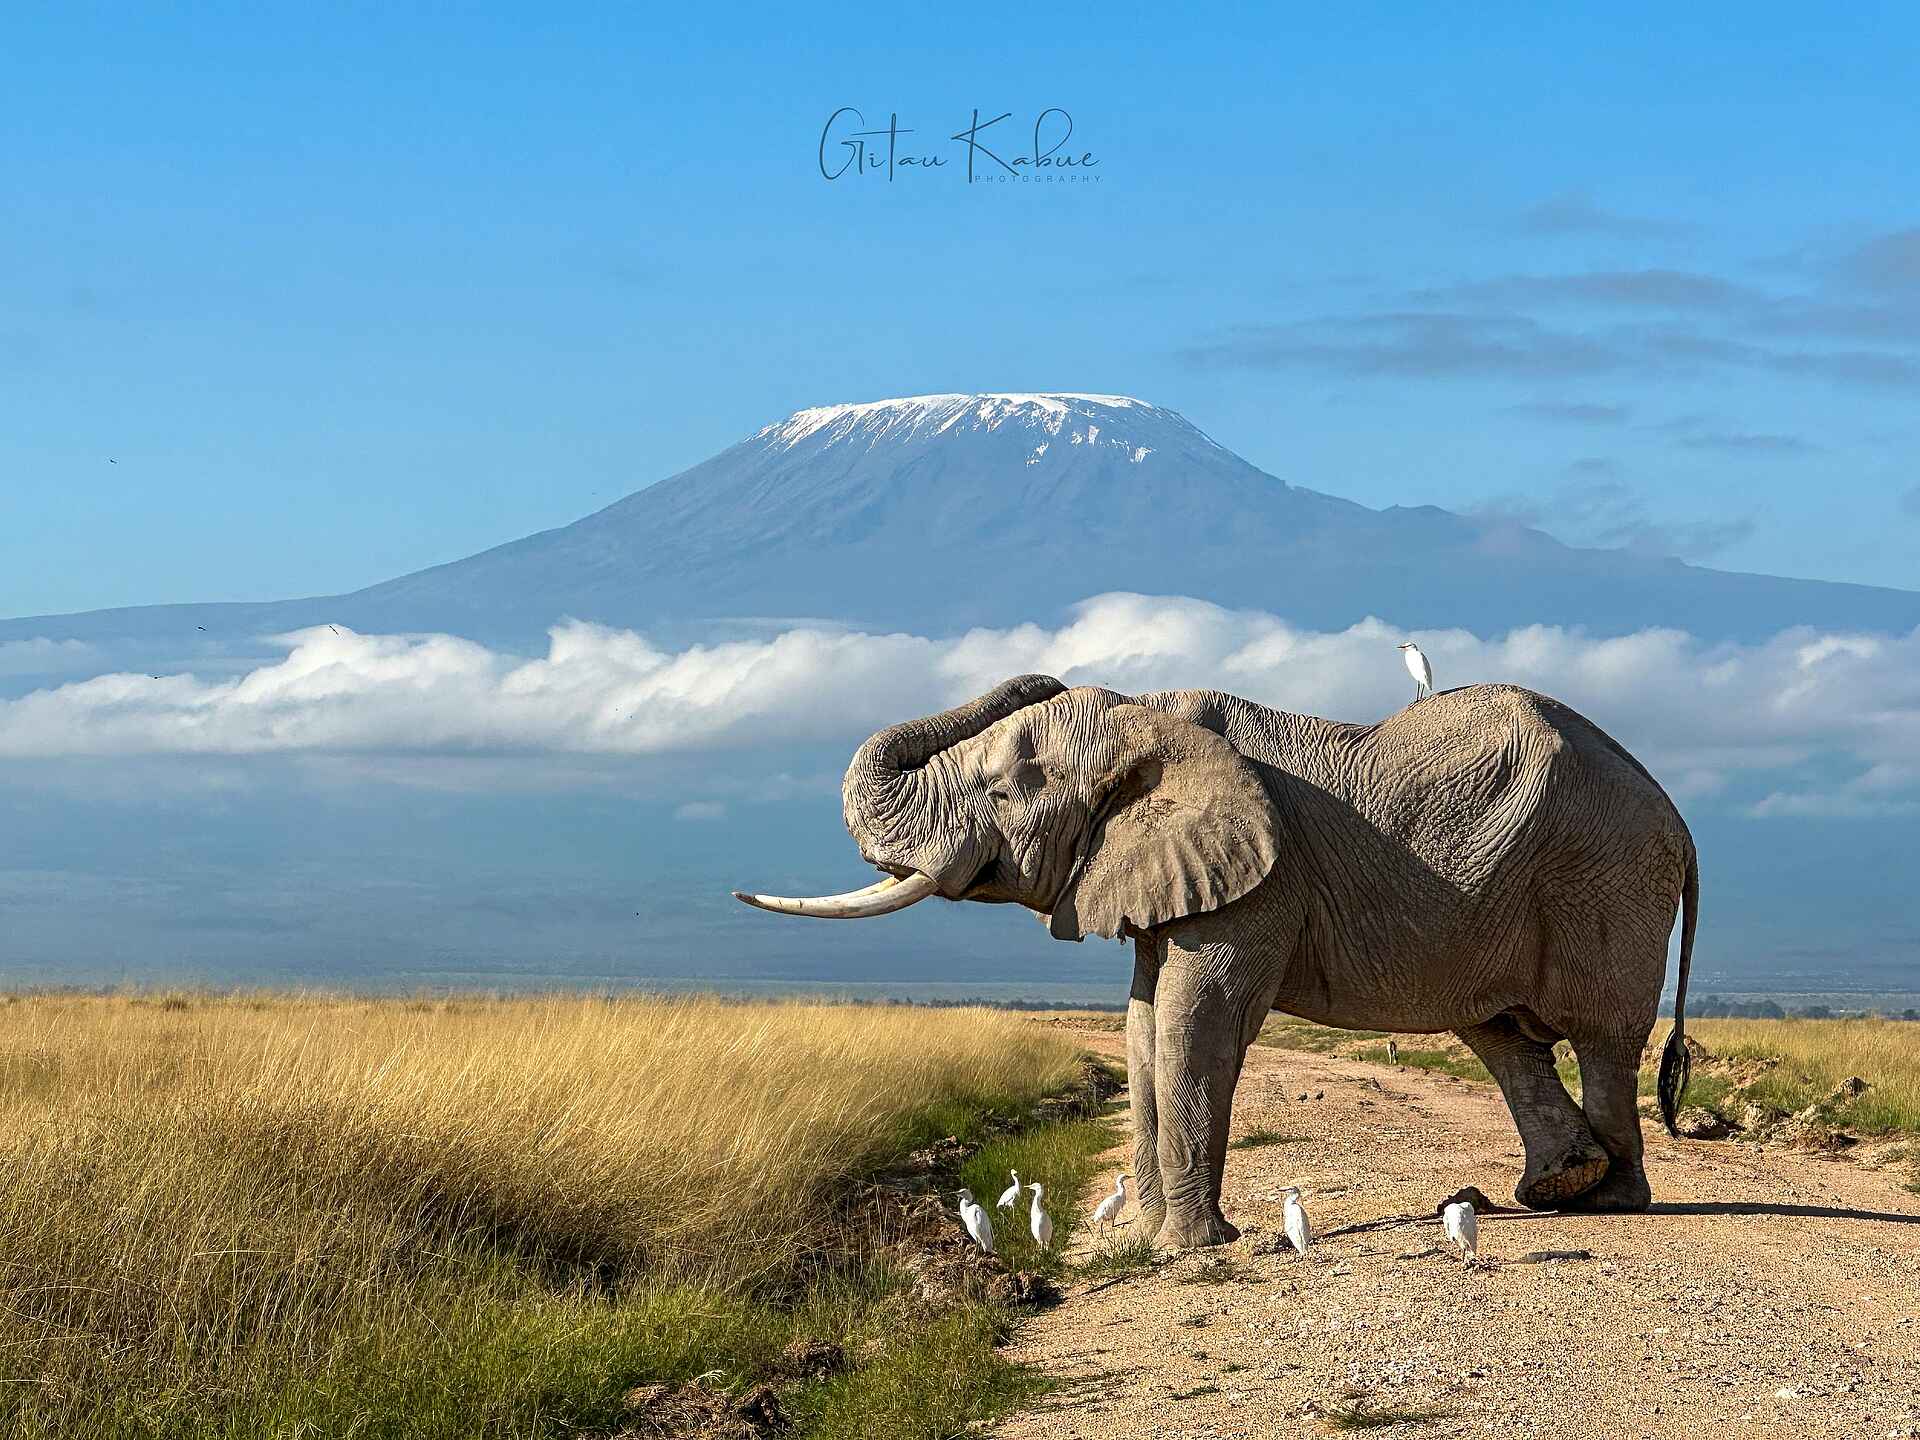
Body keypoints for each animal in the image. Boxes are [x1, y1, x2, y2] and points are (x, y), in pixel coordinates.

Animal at [734, 674, 1697, 1250]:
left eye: (1003, 792)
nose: (1042, 675)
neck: (1147, 715)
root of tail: (1680, 820)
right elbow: (1142, 1024)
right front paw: (1147, 1239)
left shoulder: (1260, 880)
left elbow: (1198, 1019)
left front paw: (1191, 1249)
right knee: (1499, 1034)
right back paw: (1558, 1187)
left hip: (1605, 881)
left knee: (1600, 1039)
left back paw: (1610, 1201)